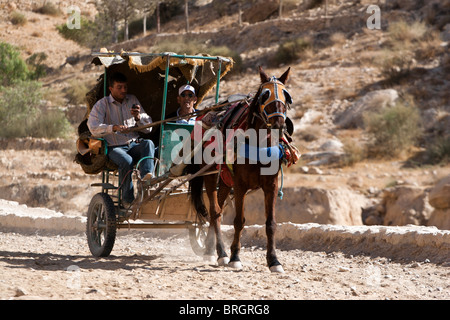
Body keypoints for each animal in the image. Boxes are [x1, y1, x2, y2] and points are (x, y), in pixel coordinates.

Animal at [187, 65, 290, 272]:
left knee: (217, 212)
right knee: (215, 212)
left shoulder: (271, 186)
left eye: (286, 96)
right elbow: (239, 221)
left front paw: (274, 260)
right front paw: (235, 257)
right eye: (265, 95)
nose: (279, 125)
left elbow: (271, 223)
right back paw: (222, 253)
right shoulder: (241, 185)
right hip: (210, 176)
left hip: (225, 182)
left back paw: (210, 250)